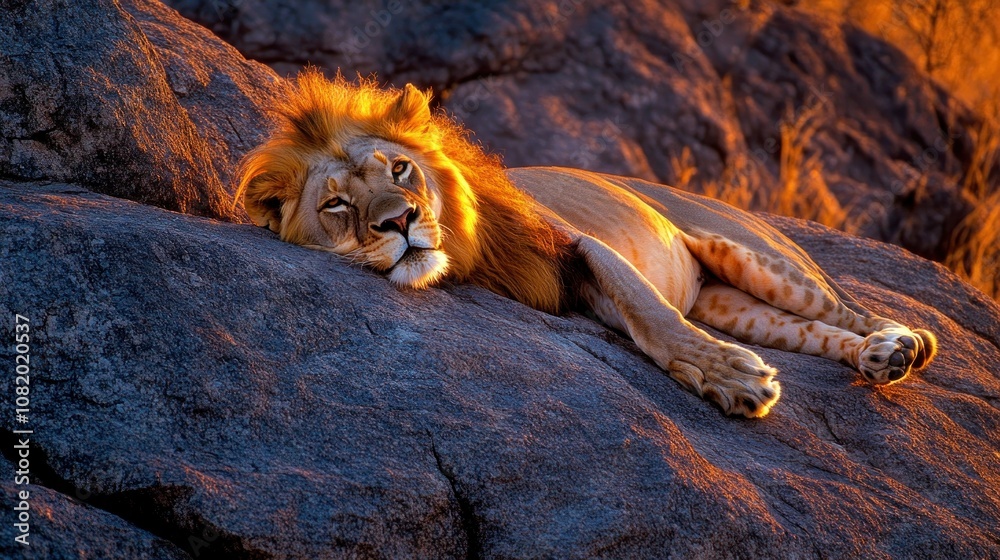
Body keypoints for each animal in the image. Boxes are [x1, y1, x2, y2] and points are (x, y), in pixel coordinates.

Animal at [234, 71, 937, 418]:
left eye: (400, 170)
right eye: (337, 206)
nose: (401, 221)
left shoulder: (575, 244)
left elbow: (650, 310)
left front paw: (731, 375)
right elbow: (648, 321)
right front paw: (721, 374)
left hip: (761, 261)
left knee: (849, 311)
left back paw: (898, 343)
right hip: (732, 304)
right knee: (815, 333)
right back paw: (879, 359)